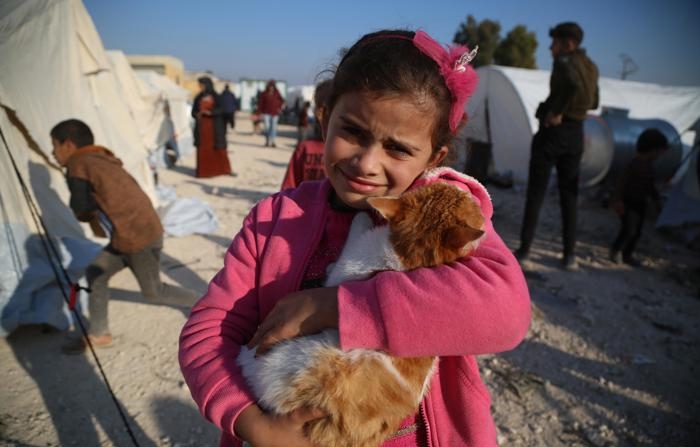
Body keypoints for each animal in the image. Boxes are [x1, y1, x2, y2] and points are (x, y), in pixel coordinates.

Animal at [238, 180, 484, 446]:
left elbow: (351, 241)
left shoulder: (348, 267)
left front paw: (360, 218)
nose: (472, 191)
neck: (410, 257)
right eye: (466, 200)